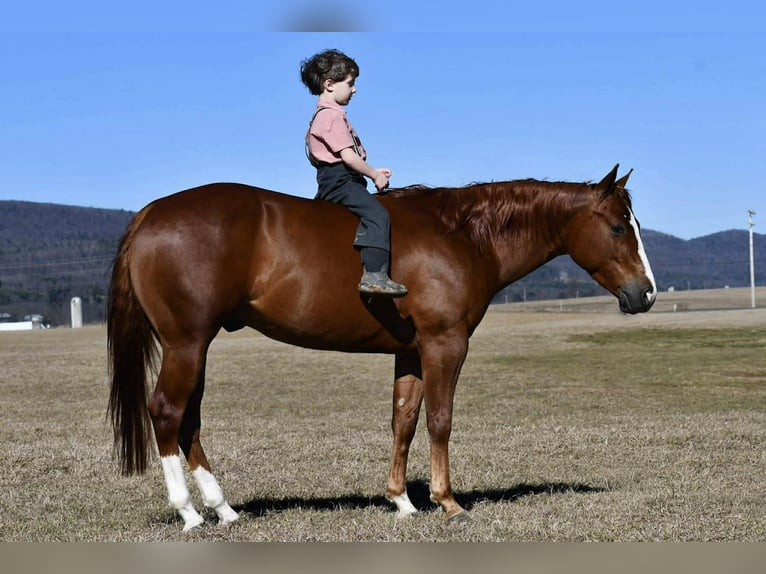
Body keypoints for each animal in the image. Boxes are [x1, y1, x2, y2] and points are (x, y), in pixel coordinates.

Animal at [107, 164, 656, 530]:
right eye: (617, 226)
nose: (646, 294)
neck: (463, 235)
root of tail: (151, 213)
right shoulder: (445, 344)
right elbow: (440, 421)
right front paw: (447, 501)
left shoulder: (411, 351)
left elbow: (404, 420)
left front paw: (402, 501)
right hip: (186, 343)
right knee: (167, 411)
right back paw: (189, 513)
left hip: (196, 347)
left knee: (189, 420)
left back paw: (224, 509)